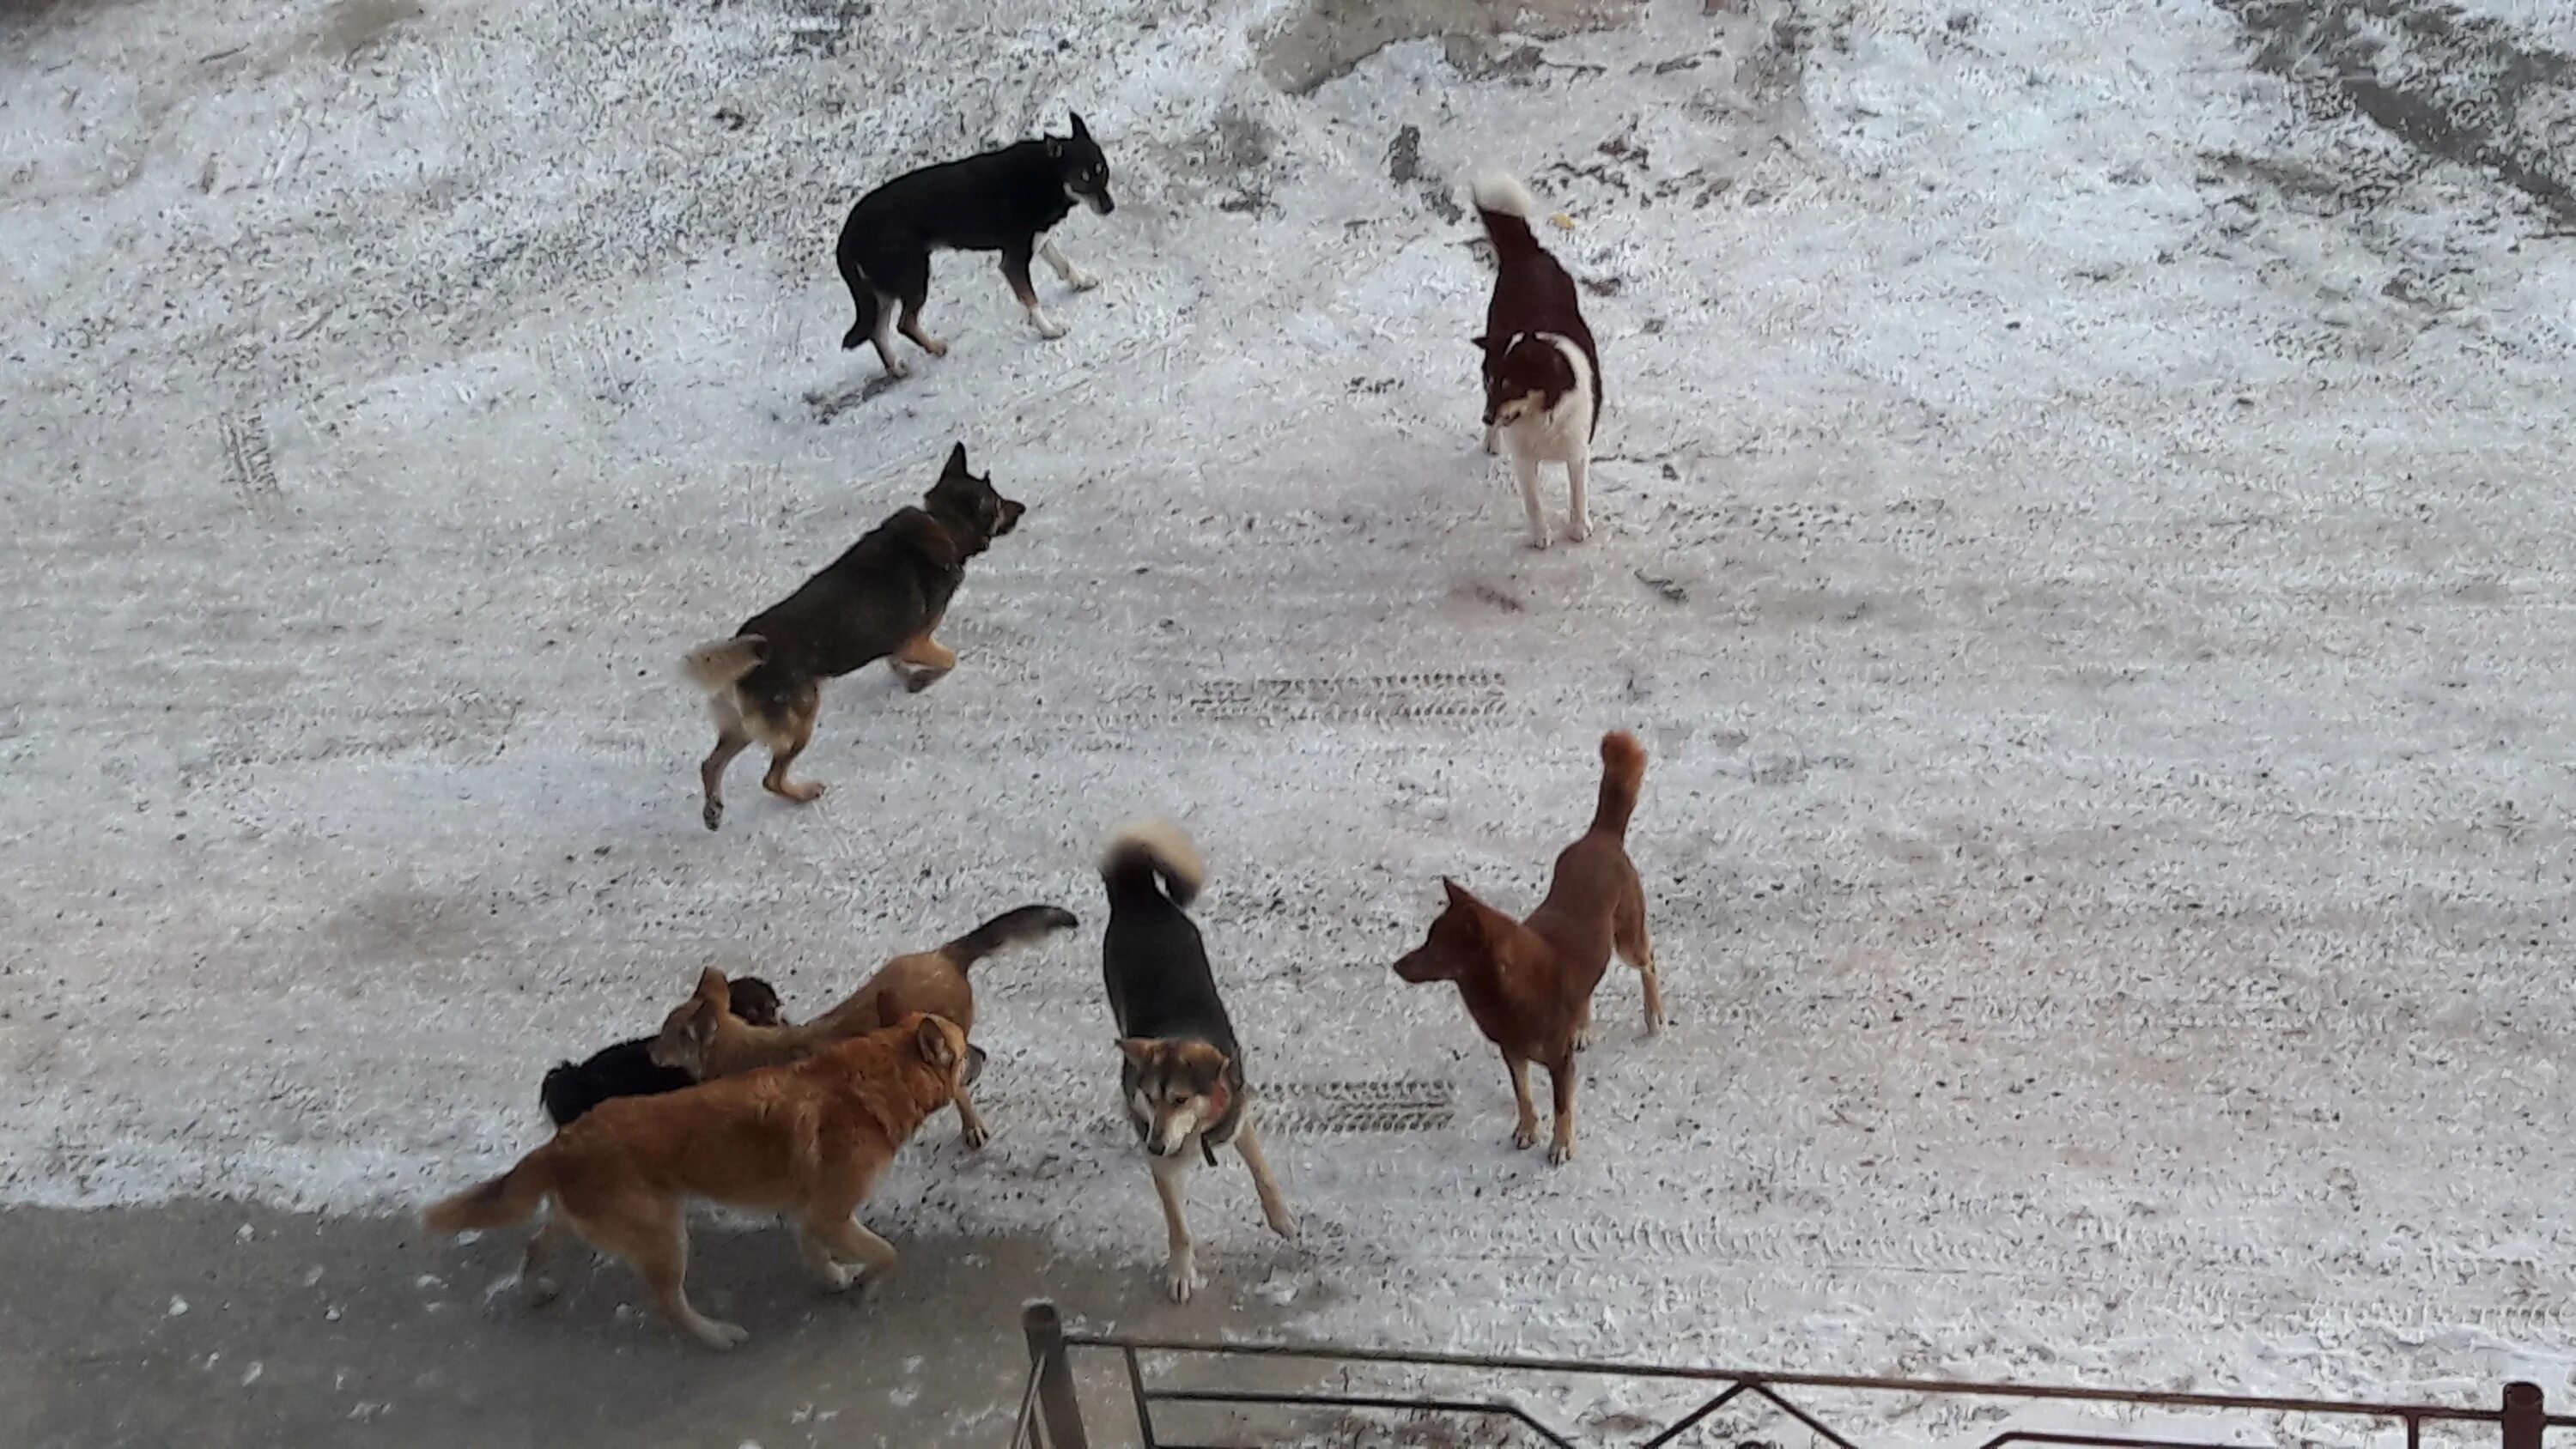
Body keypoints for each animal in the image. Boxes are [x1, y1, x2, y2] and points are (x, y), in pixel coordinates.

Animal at [428, 1009, 979, 1349]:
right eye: (962, 1046)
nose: (987, 1053)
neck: (870, 1082)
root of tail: (563, 1143)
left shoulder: (810, 1212)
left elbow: (817, 1252)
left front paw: (834, 1279)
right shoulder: (830, 1214)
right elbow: (888, 1254)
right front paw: (868, 1286)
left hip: (584, 1219)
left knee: (536, 1243)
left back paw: (536, 1288)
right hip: (663, 1236)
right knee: (668, 1303)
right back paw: (716, 1336)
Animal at [685, 440, 1025, 828]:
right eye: (997, 503)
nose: (1023, 507)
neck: (943, 523)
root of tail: (754, 649)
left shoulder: (900, 645)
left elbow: (897, 662)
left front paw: (908, 677)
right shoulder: (916, 641)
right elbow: (950, 660)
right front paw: (921, 680)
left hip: (745, 725)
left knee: (710, 763)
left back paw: (713, 808)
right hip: (799, 721)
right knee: (770, 778)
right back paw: (803, 793)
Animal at [840, 112, 1113, 380]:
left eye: (1102, 170)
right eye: (1082, 179)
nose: (1109, 207)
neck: (1046, 173)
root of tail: (847, 234)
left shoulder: (1038, 238)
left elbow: (1063, 263)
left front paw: (1081, 281)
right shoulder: (1013, 260)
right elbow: (1031, 299)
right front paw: (1049, 329)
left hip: (884, 290)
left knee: (878, 331)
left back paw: (896, 367)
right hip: (912, 277)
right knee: (903, 323)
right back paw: (934, 348)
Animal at [1484, 169, 1597, 553]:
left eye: (1510, 384)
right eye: (1491, 382)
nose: (1487, 416)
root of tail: (1527, 252)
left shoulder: (1577, 452)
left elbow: (1578, 495)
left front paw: (1578, 528)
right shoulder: (1523, 460)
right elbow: (1533, 502)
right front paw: (1540, 535)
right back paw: (1491, 440)